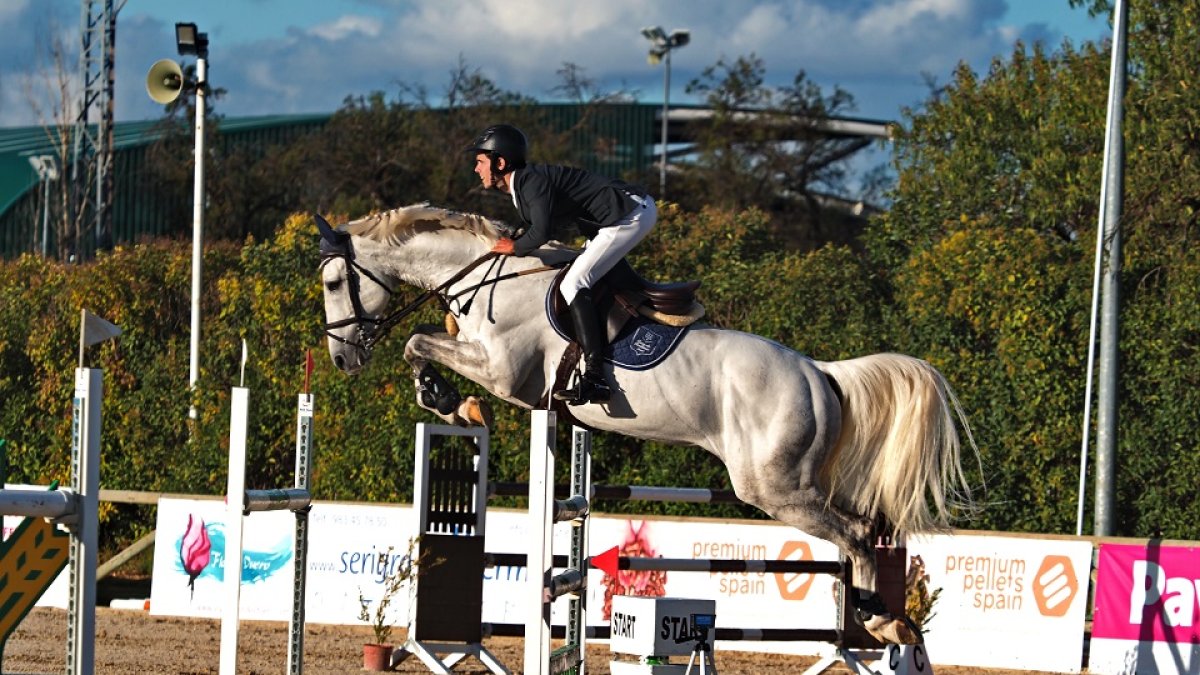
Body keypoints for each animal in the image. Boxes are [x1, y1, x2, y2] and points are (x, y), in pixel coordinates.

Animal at [315, 202, 978, 645]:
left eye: (332, 281)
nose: (342, 359)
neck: (487, 277)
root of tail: (820, 372)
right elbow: (421, 344)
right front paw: (448, 401)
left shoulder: (504, 374)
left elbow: (417, 343)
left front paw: (452, 401)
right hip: (802, 483)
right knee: (868, 524)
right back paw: (886, 618)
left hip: (775, 488)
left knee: (858, 534)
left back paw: (882, 621)